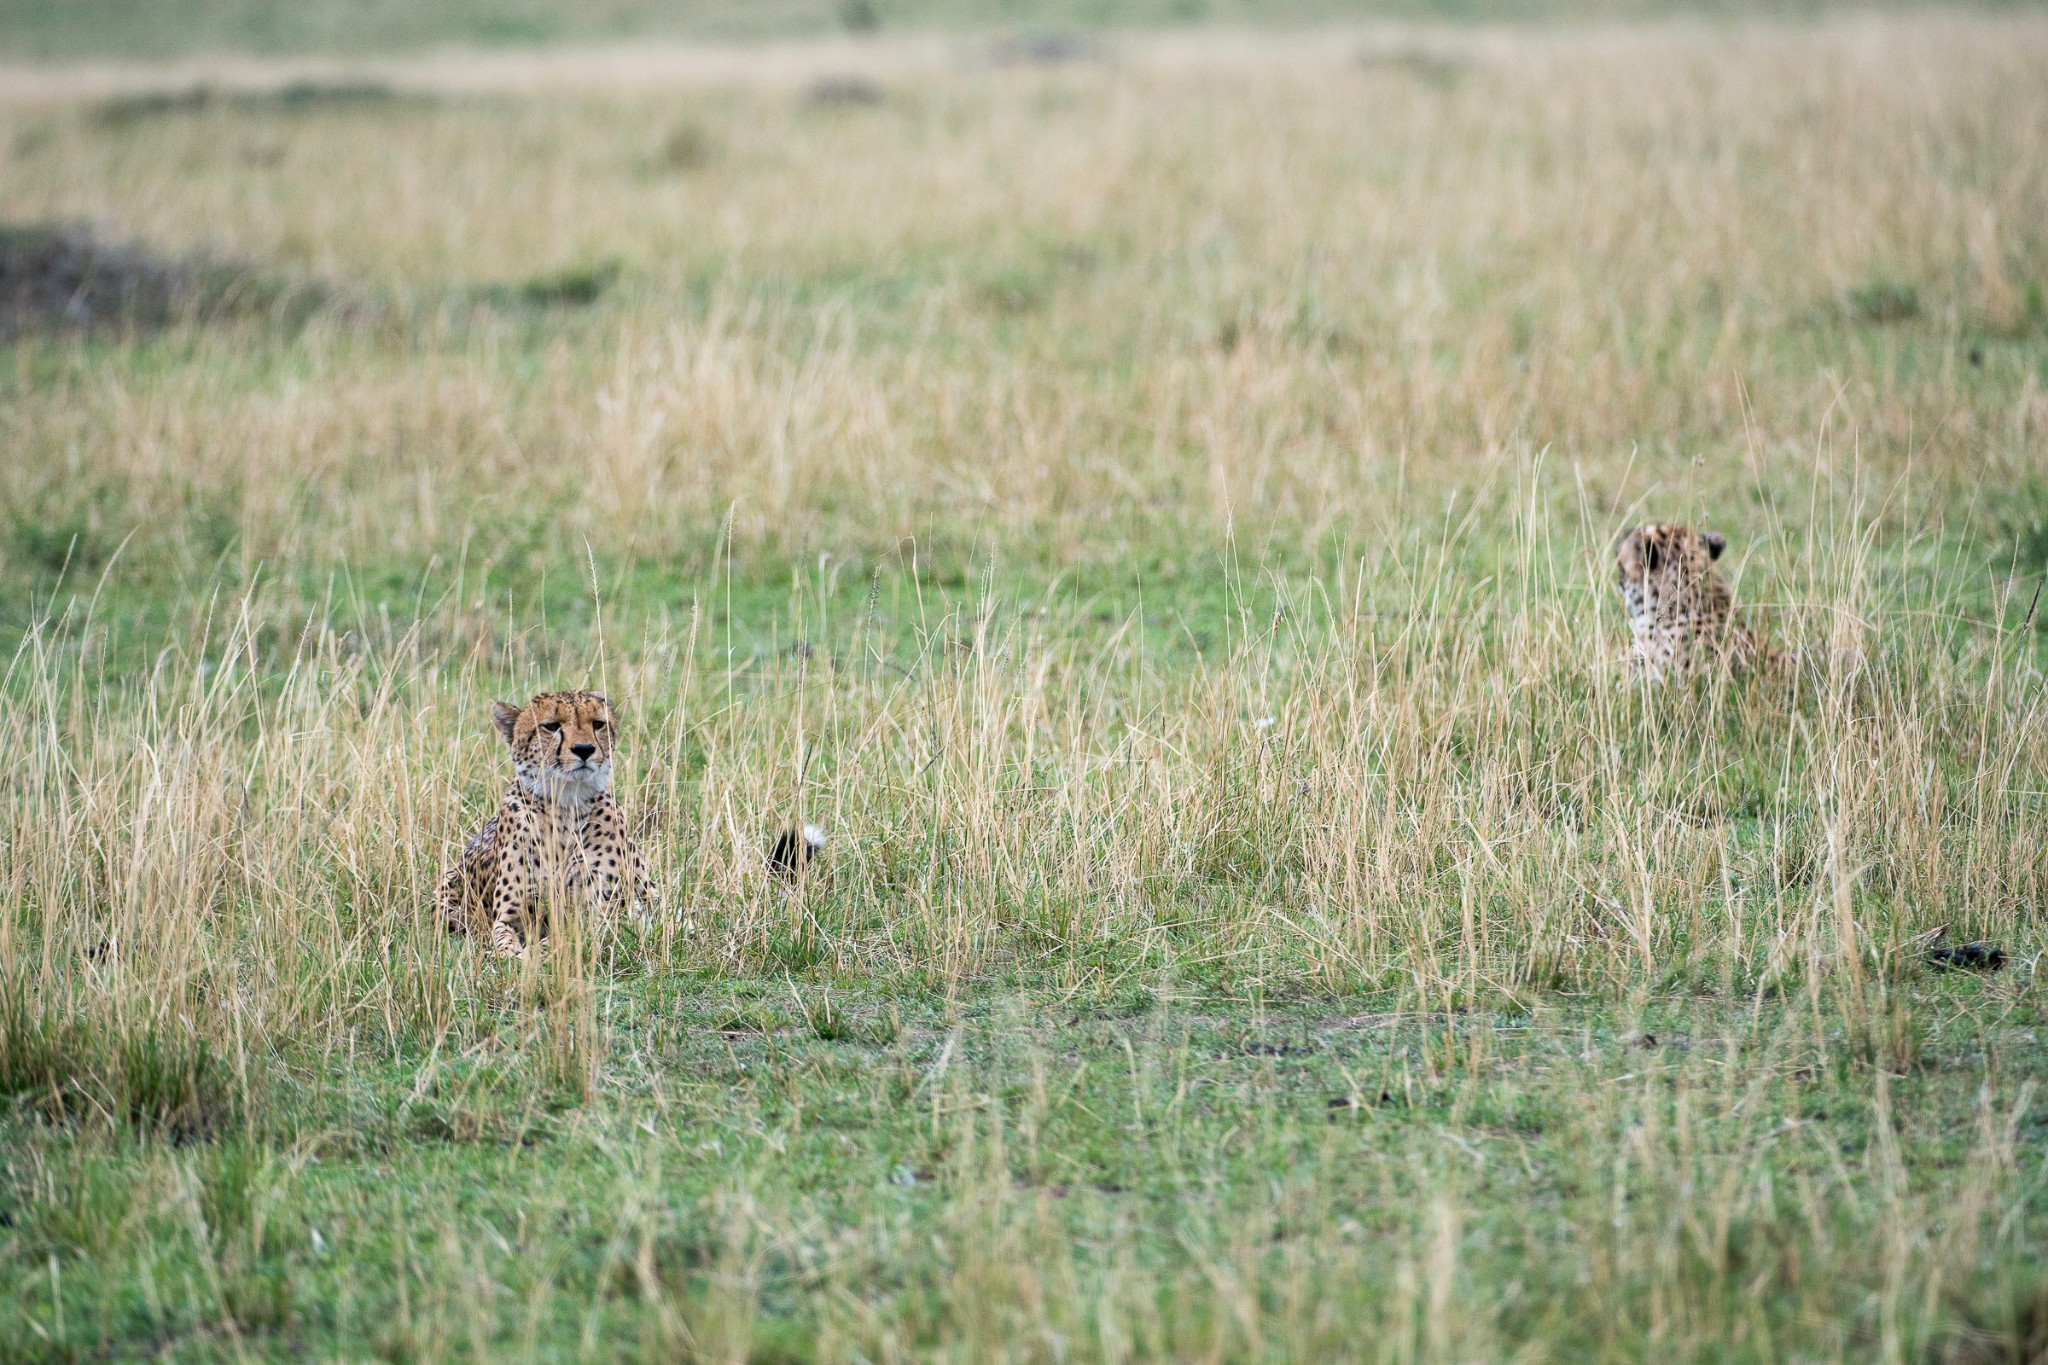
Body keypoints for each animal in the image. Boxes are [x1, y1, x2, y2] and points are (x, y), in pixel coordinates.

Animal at [434, 687, 651, 957]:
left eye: (598, 724)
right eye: (551, 726)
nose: (584, 749)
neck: (565, 805)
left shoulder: (601, 910)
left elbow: (566, 937)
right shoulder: (510, 916)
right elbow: (503, 939)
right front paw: (512, 955)